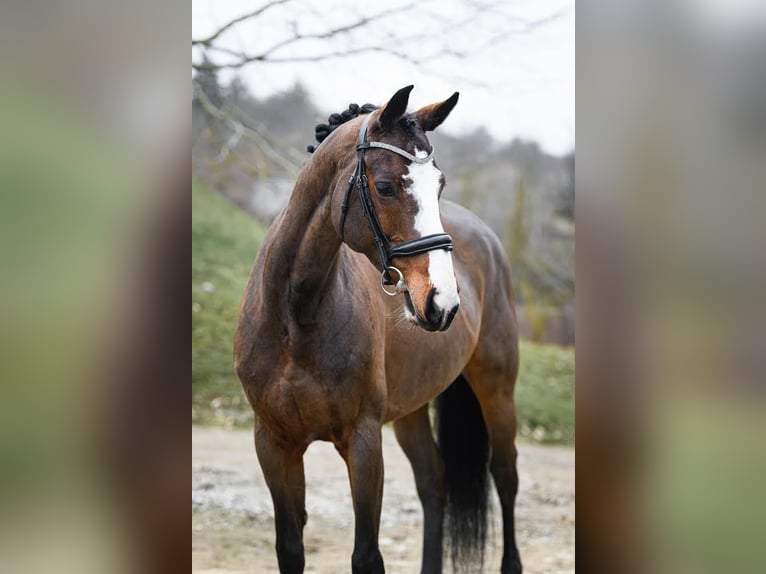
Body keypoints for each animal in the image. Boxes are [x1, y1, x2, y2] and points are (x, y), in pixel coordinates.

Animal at [234, 85, 520, 574]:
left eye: (439, 185)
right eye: (385, 187)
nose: (444, 302)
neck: (296, 317)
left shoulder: (364, 442)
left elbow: (367, 554)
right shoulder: (273, 443)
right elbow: (290, 547)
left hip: (496, 392)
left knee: (504, 477)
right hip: (411, 410)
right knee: (433, 481)